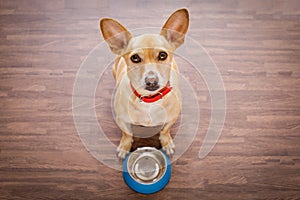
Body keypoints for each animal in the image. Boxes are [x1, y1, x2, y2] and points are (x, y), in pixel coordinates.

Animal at [101, 8, 190, 159]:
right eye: (135, 58)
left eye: (163, 55)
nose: (151, 81)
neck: (150, 100)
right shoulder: (121, 121)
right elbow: (127, 134)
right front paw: (125, 146)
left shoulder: (171, 118)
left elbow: (165, 131)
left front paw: (166, 143)